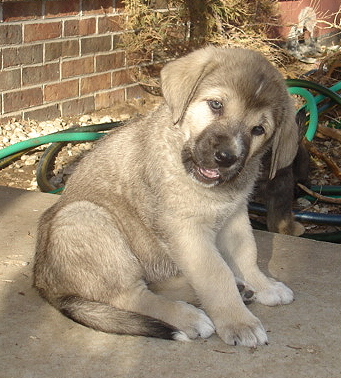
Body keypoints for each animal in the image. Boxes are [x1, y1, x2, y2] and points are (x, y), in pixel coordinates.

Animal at [32, 45, 298, 346]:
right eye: (216, 105)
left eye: (258, 130)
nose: (225, 157)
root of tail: (42, 282)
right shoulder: (185, 229)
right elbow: (216, 274)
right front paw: (239, 322)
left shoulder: (235, 216)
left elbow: (246, 255)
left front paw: (263, 285)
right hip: (85, 218)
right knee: (131, 296)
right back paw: (188, 316)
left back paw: (234, 290)